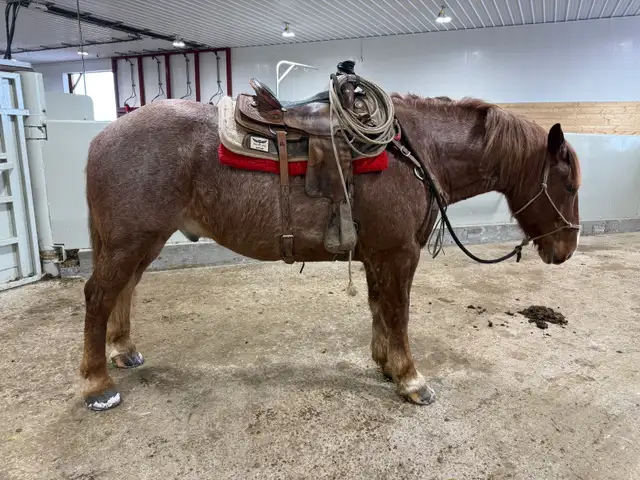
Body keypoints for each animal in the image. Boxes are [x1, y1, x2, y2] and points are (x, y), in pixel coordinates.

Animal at [80, 93, 581, 411]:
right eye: (570, 184)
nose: (566, 249)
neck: (415, 152)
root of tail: (104, 136)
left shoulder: (379, 255)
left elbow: (380, 309)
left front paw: (386, 365)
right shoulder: (400, 254)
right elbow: (398, 313)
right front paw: (411, 379)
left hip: (141, 243)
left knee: (125, 290)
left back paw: (124, 350)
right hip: (131, 241)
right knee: (99, 296)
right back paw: (97, 384)